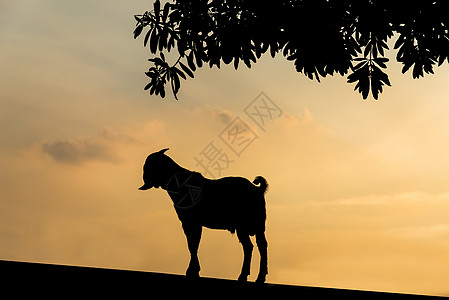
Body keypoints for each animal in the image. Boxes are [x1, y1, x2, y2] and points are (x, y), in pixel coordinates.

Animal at [138, 149, 268, 282]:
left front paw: (192, 271)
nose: (144, 177)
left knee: (258, 246)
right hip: (251, 226)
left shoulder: (191, 222)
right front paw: (194, 270)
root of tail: (257, 189)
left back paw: (256, 276)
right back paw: (249, 276)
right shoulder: (192, 223)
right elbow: (193, 244)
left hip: (250, 224)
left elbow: (192, 245)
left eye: (149, 165)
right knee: (253, 246)